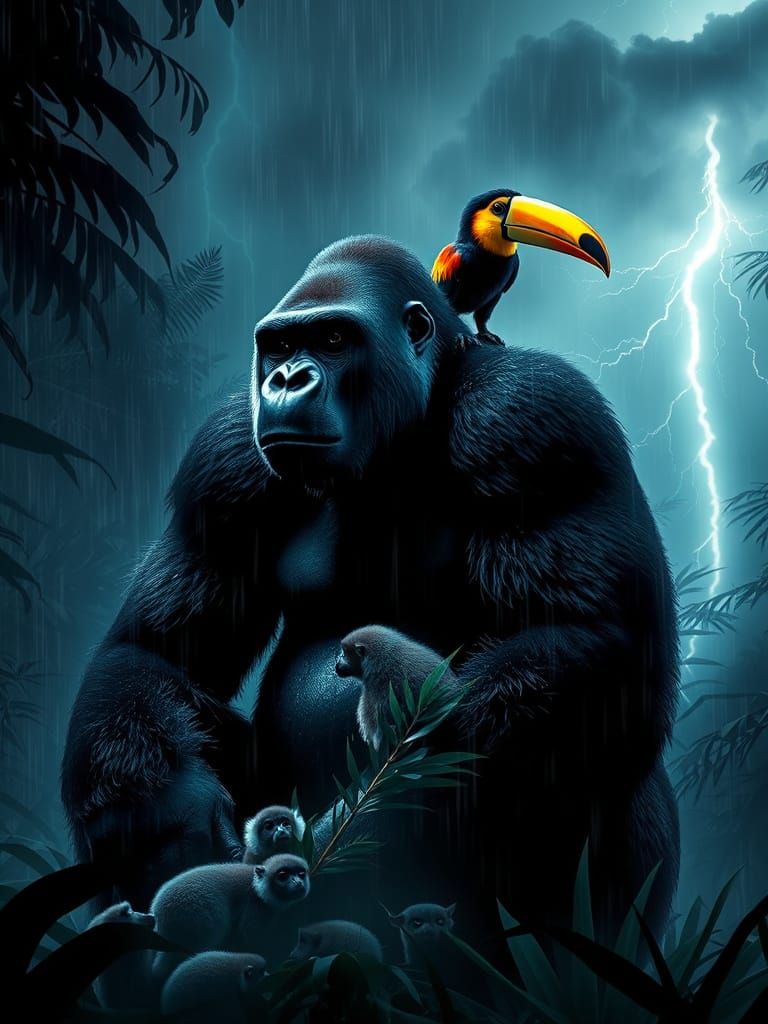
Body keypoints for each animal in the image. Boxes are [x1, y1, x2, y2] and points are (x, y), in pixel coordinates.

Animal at [150, 854, 309, 982]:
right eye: (283, 875)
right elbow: (252, 939)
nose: (297, 882)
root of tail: (158, 912)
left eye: (301, 874)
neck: (257, 886)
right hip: (193, 916)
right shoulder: (256, 907)